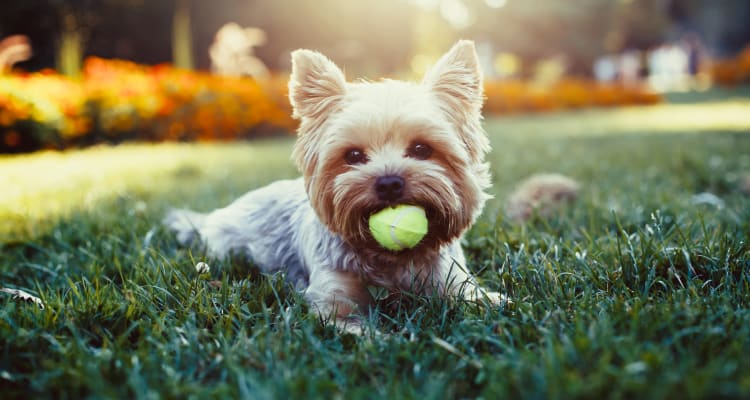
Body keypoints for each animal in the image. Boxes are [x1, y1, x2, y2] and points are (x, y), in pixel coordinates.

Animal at [164, 41, 506, 334]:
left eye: (422, 149)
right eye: (353, 155)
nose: (389, 182)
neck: (390, 258)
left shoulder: (450, 278)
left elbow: (478, 298)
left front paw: (494, 302)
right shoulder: (333, 297)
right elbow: (351, 325)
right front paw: (383, 340)